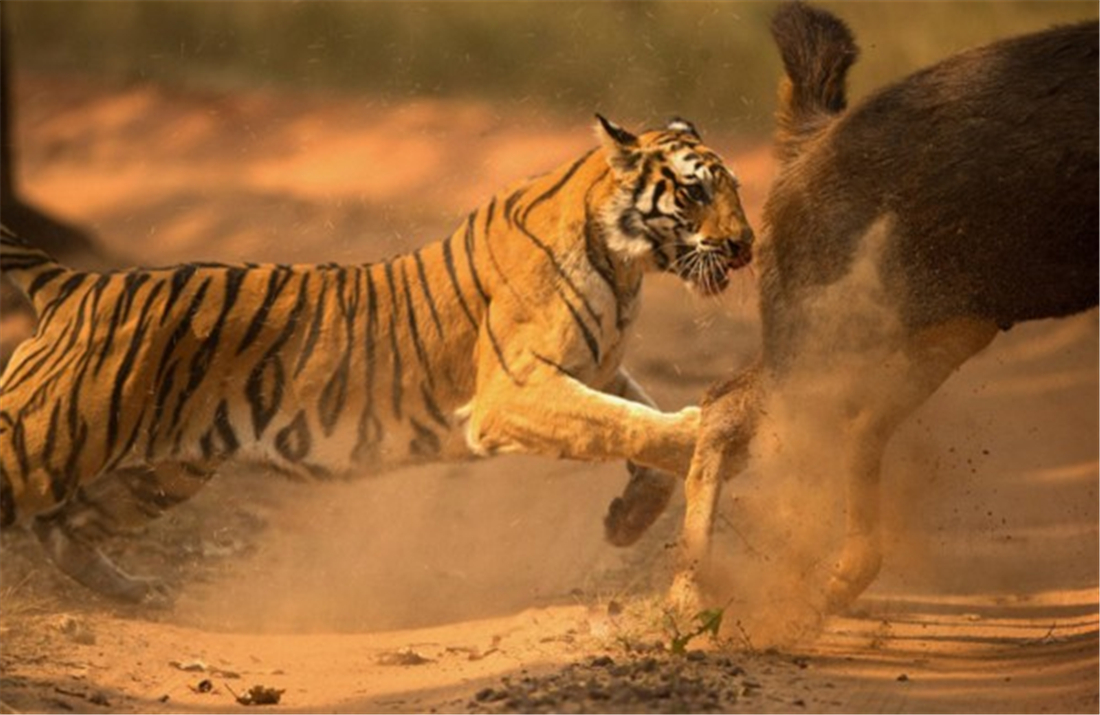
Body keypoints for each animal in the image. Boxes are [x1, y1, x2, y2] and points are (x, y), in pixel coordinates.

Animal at [0, 115, 753, 603]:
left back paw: (139, 592)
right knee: (41, 510)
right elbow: (629, 423)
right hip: (46, 440)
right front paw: (714, 433)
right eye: (695, 191)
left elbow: (635, 419)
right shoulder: (515, 390)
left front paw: (627, 520)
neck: (627, 267)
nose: (747, 245)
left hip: (164, 469)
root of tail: (75, 284)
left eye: (736, 189)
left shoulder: (588, 368)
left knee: (64, 527)